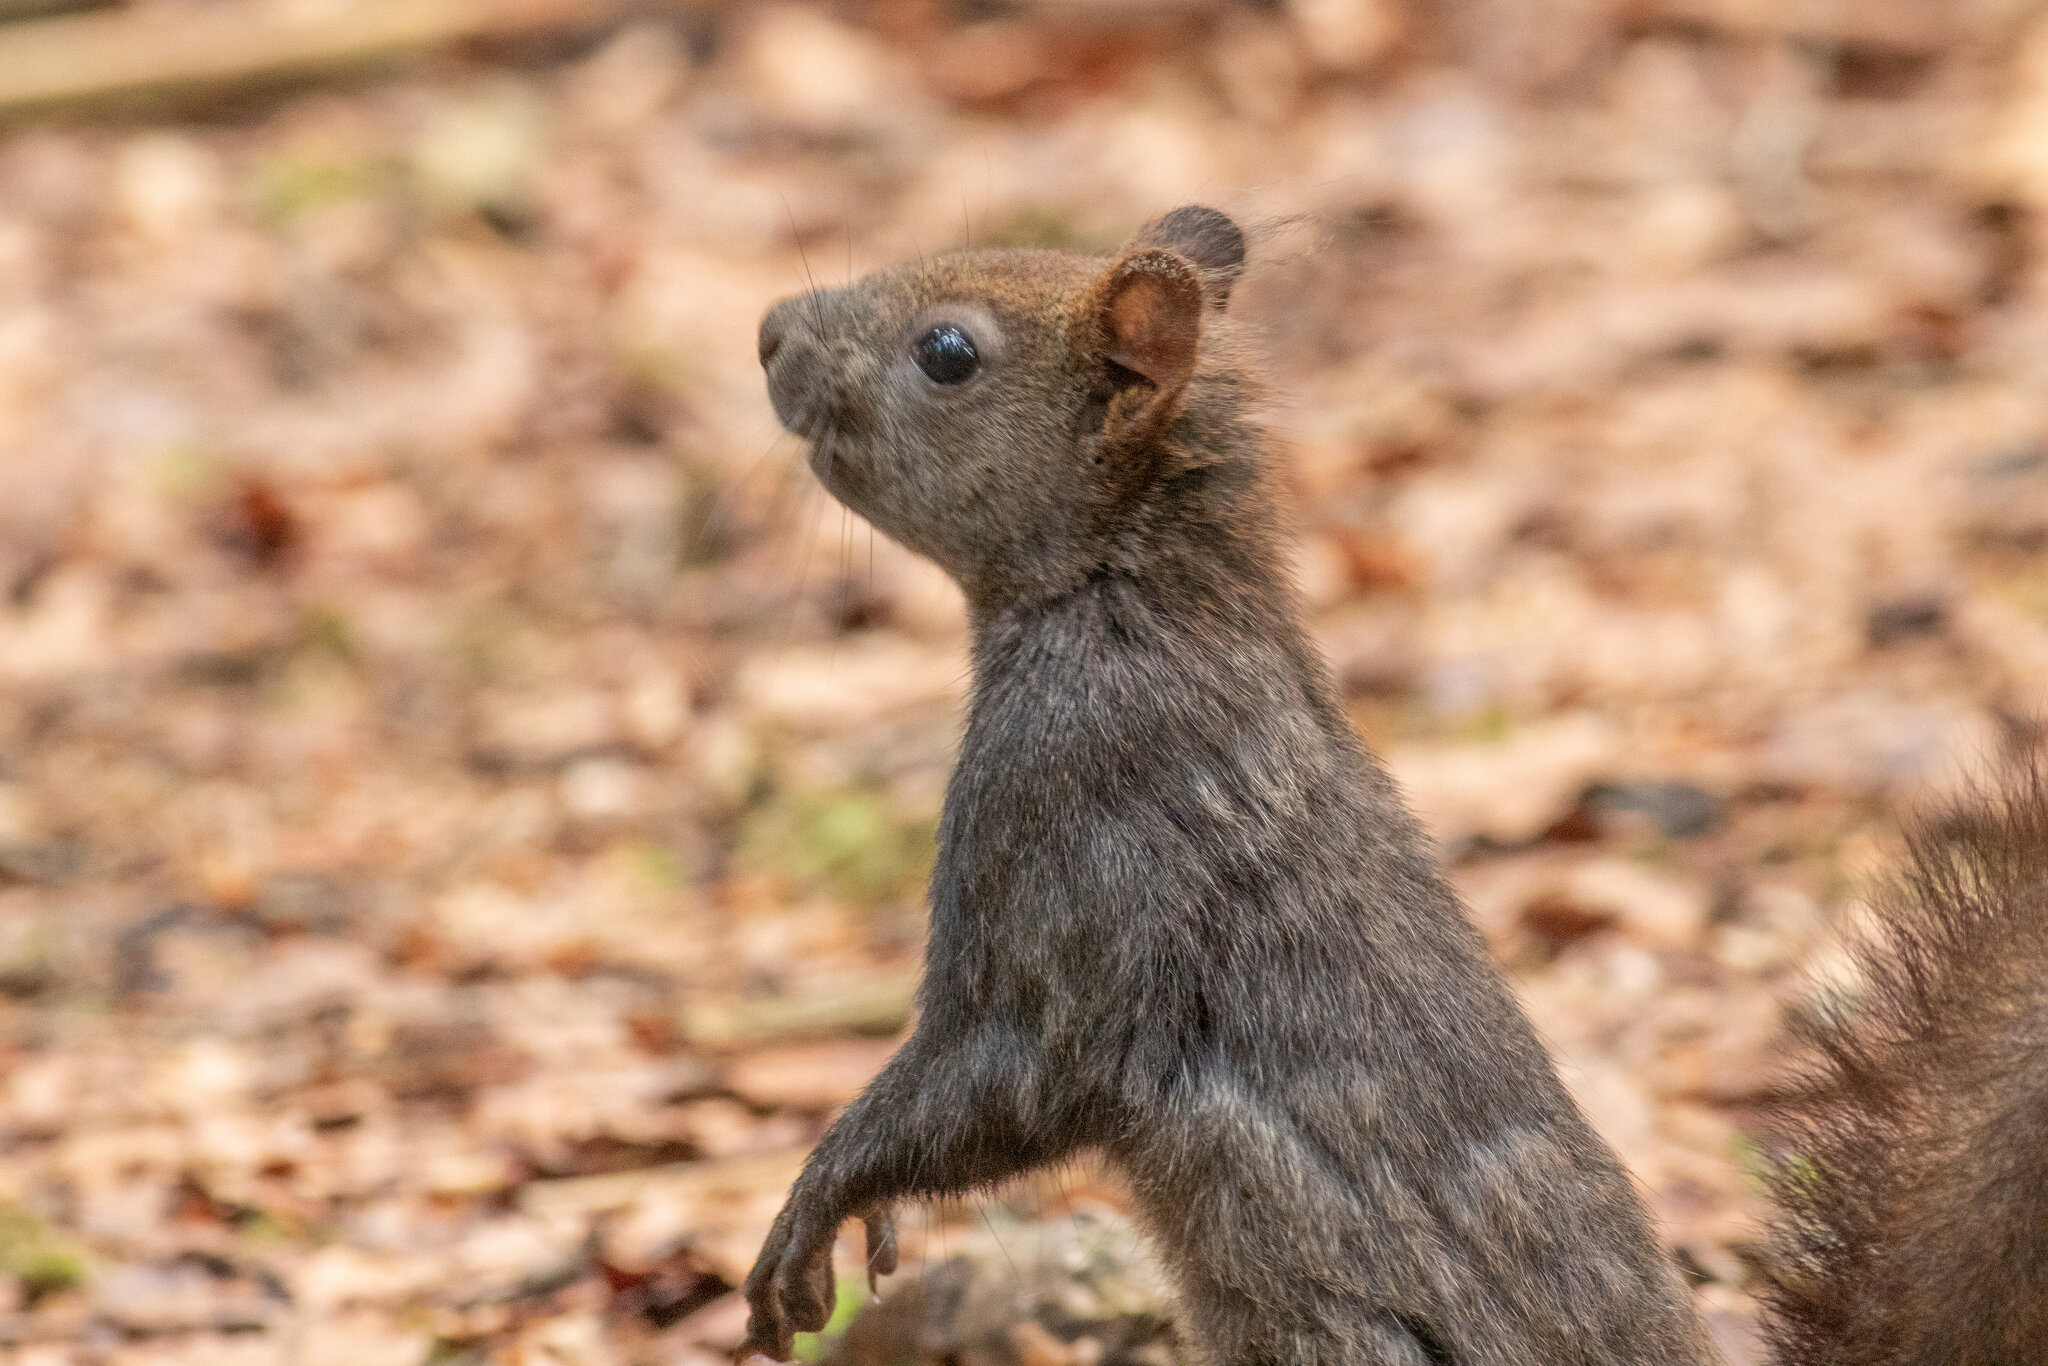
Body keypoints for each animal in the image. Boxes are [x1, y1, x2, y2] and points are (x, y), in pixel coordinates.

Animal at [742, 205, 2048, 1366]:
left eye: (947, 352)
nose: (767, 329)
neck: (1127, 599)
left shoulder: (1083, 830)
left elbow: (1011, 1069)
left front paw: (815, 1211)